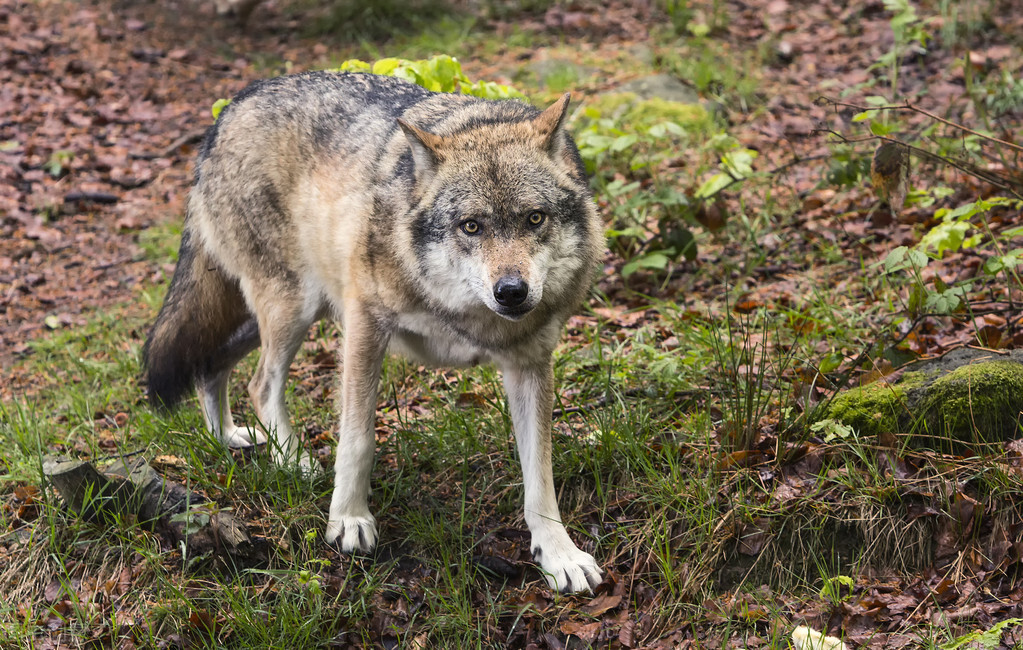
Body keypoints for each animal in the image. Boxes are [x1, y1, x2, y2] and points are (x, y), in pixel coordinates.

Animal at [145, 71, 605, 593]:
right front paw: (348, 519)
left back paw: (227, 436)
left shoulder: (530, 365)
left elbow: (540, 478)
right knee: (260, 383)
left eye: (535, 218)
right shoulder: (365, 321)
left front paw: (559, 555)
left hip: (281, 314)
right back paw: (291, 459)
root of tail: (229, 110)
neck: (465, 313)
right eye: (471, 226)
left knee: (209, 365)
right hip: (294, 308)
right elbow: (358, 438)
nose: (511, 292)